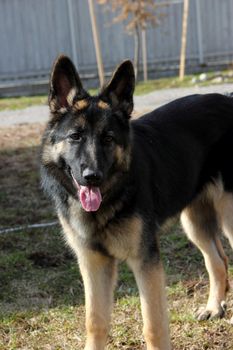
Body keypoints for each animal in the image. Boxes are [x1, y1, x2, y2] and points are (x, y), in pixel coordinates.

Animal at [41, 56, 233, 348]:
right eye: (75, 136)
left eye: (108, 138)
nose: (92, 177)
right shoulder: (93, 263)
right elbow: (95, 322)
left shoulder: (145, 262)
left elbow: (153, 326)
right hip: (195, 224)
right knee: (218, 261)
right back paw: (214, 307)